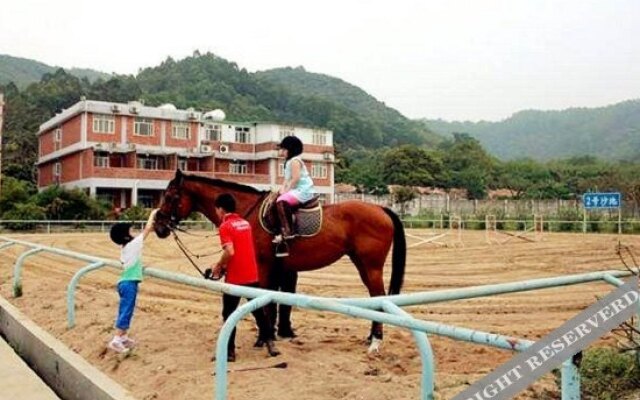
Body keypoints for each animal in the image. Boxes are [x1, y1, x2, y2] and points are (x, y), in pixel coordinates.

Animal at [152, 170, 408, 352]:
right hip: (361, 263)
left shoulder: (263, 267)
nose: (159, 226)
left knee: (378, 295)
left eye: (170, 196)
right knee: (375, 298)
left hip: (371, 265)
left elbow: (263, 302)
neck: (247, 212)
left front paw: (265, 338)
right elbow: (269, 302)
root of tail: (381, 209)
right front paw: (268, 336)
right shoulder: (273, 269)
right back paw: (370, 337)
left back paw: (375, 341)